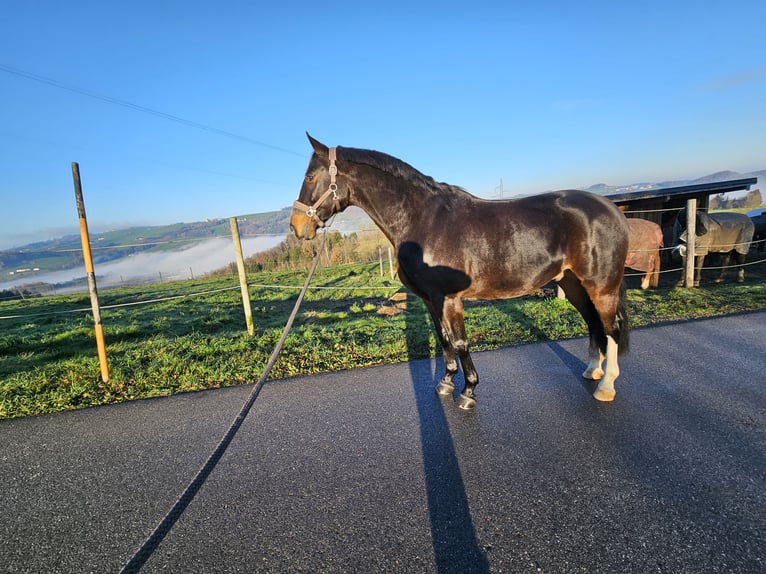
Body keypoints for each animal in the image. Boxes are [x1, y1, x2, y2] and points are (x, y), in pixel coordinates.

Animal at [292, 135, 632, 410]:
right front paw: (446, 383)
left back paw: (606, 386)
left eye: (310, 176)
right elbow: (443, 339)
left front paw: (468, 392)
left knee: (611, 327)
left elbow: (459, 342)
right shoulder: (430, 298)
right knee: (593, 323)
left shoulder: (450, 298)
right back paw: (593, 370)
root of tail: (613, 210)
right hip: (574, 283)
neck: (424, 221)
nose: (297, 227)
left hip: (602, 286)